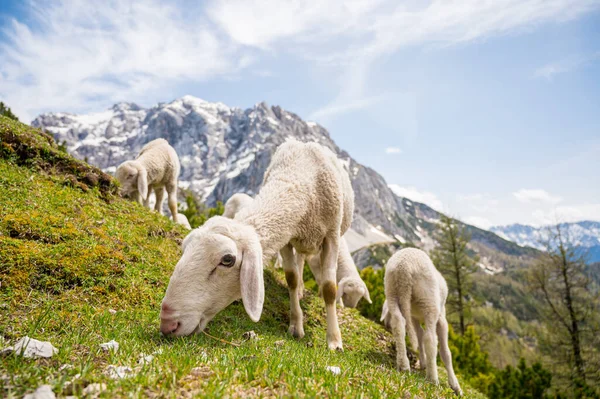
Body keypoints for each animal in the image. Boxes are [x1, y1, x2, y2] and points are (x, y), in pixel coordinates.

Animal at [162, 139, 354, 352]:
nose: (167, 324)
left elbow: (329, 288)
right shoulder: (286, 237)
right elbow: (292, 278)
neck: (298, 177)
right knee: (300, 260)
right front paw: (296, 325)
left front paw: (334, 341)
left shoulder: (332, 236)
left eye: (227, 260)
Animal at [382, 248, 462, 396]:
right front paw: (455, 385)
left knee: (399, 323)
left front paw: (423, 363)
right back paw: (433, 379)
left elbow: (419, 336)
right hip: (429, 301)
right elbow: (445, 352)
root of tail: (404, 268)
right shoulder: (442, 318)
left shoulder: (413, 317)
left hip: (392, 292)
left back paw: (403, 365)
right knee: (430, 339)